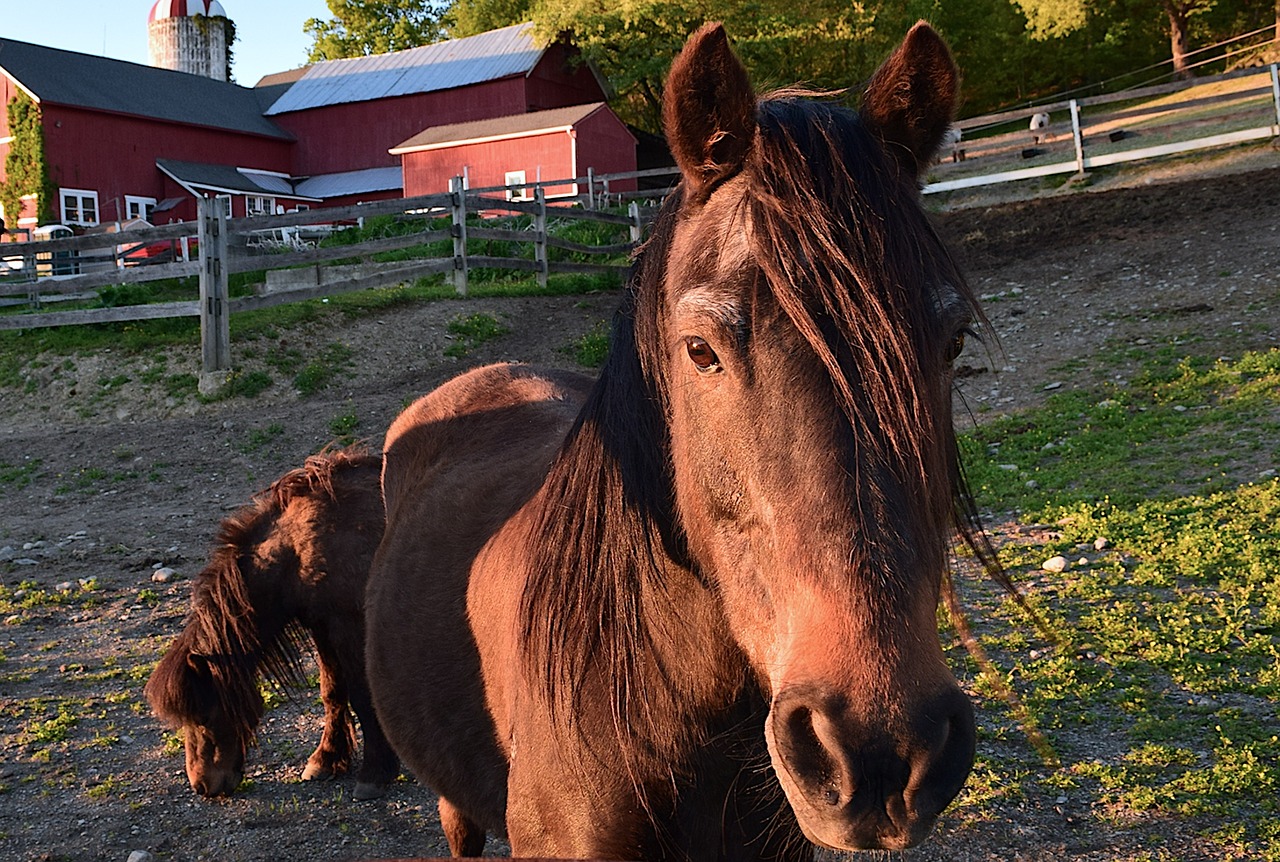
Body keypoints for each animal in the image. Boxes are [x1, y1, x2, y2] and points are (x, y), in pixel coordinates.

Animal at [145, 448, 396, 799]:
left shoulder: (348, 625)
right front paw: (326, 759)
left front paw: (375, 772)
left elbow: (361, 694)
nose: (202, 785)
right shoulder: (321, 626)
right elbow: (332, 691)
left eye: (204, 714)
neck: (298, 548)